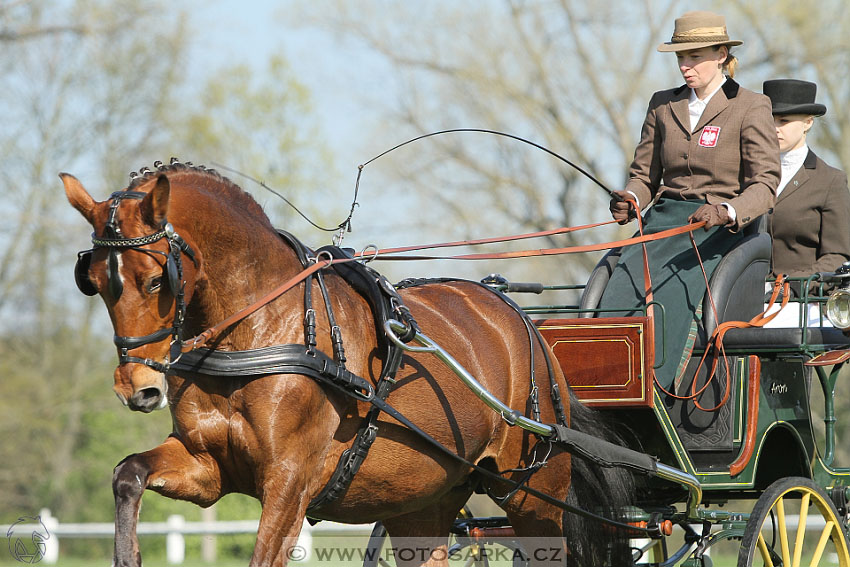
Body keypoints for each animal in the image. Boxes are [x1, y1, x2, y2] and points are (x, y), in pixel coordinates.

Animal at [63, 161, 632, 567]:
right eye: (95, 280)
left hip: (535, 493)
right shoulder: (209, 468)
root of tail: (521, 322)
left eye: (156, 280)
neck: (260, 328)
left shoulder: (289, 480)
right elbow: (128, 474)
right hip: (424, 502)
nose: (136, 386)